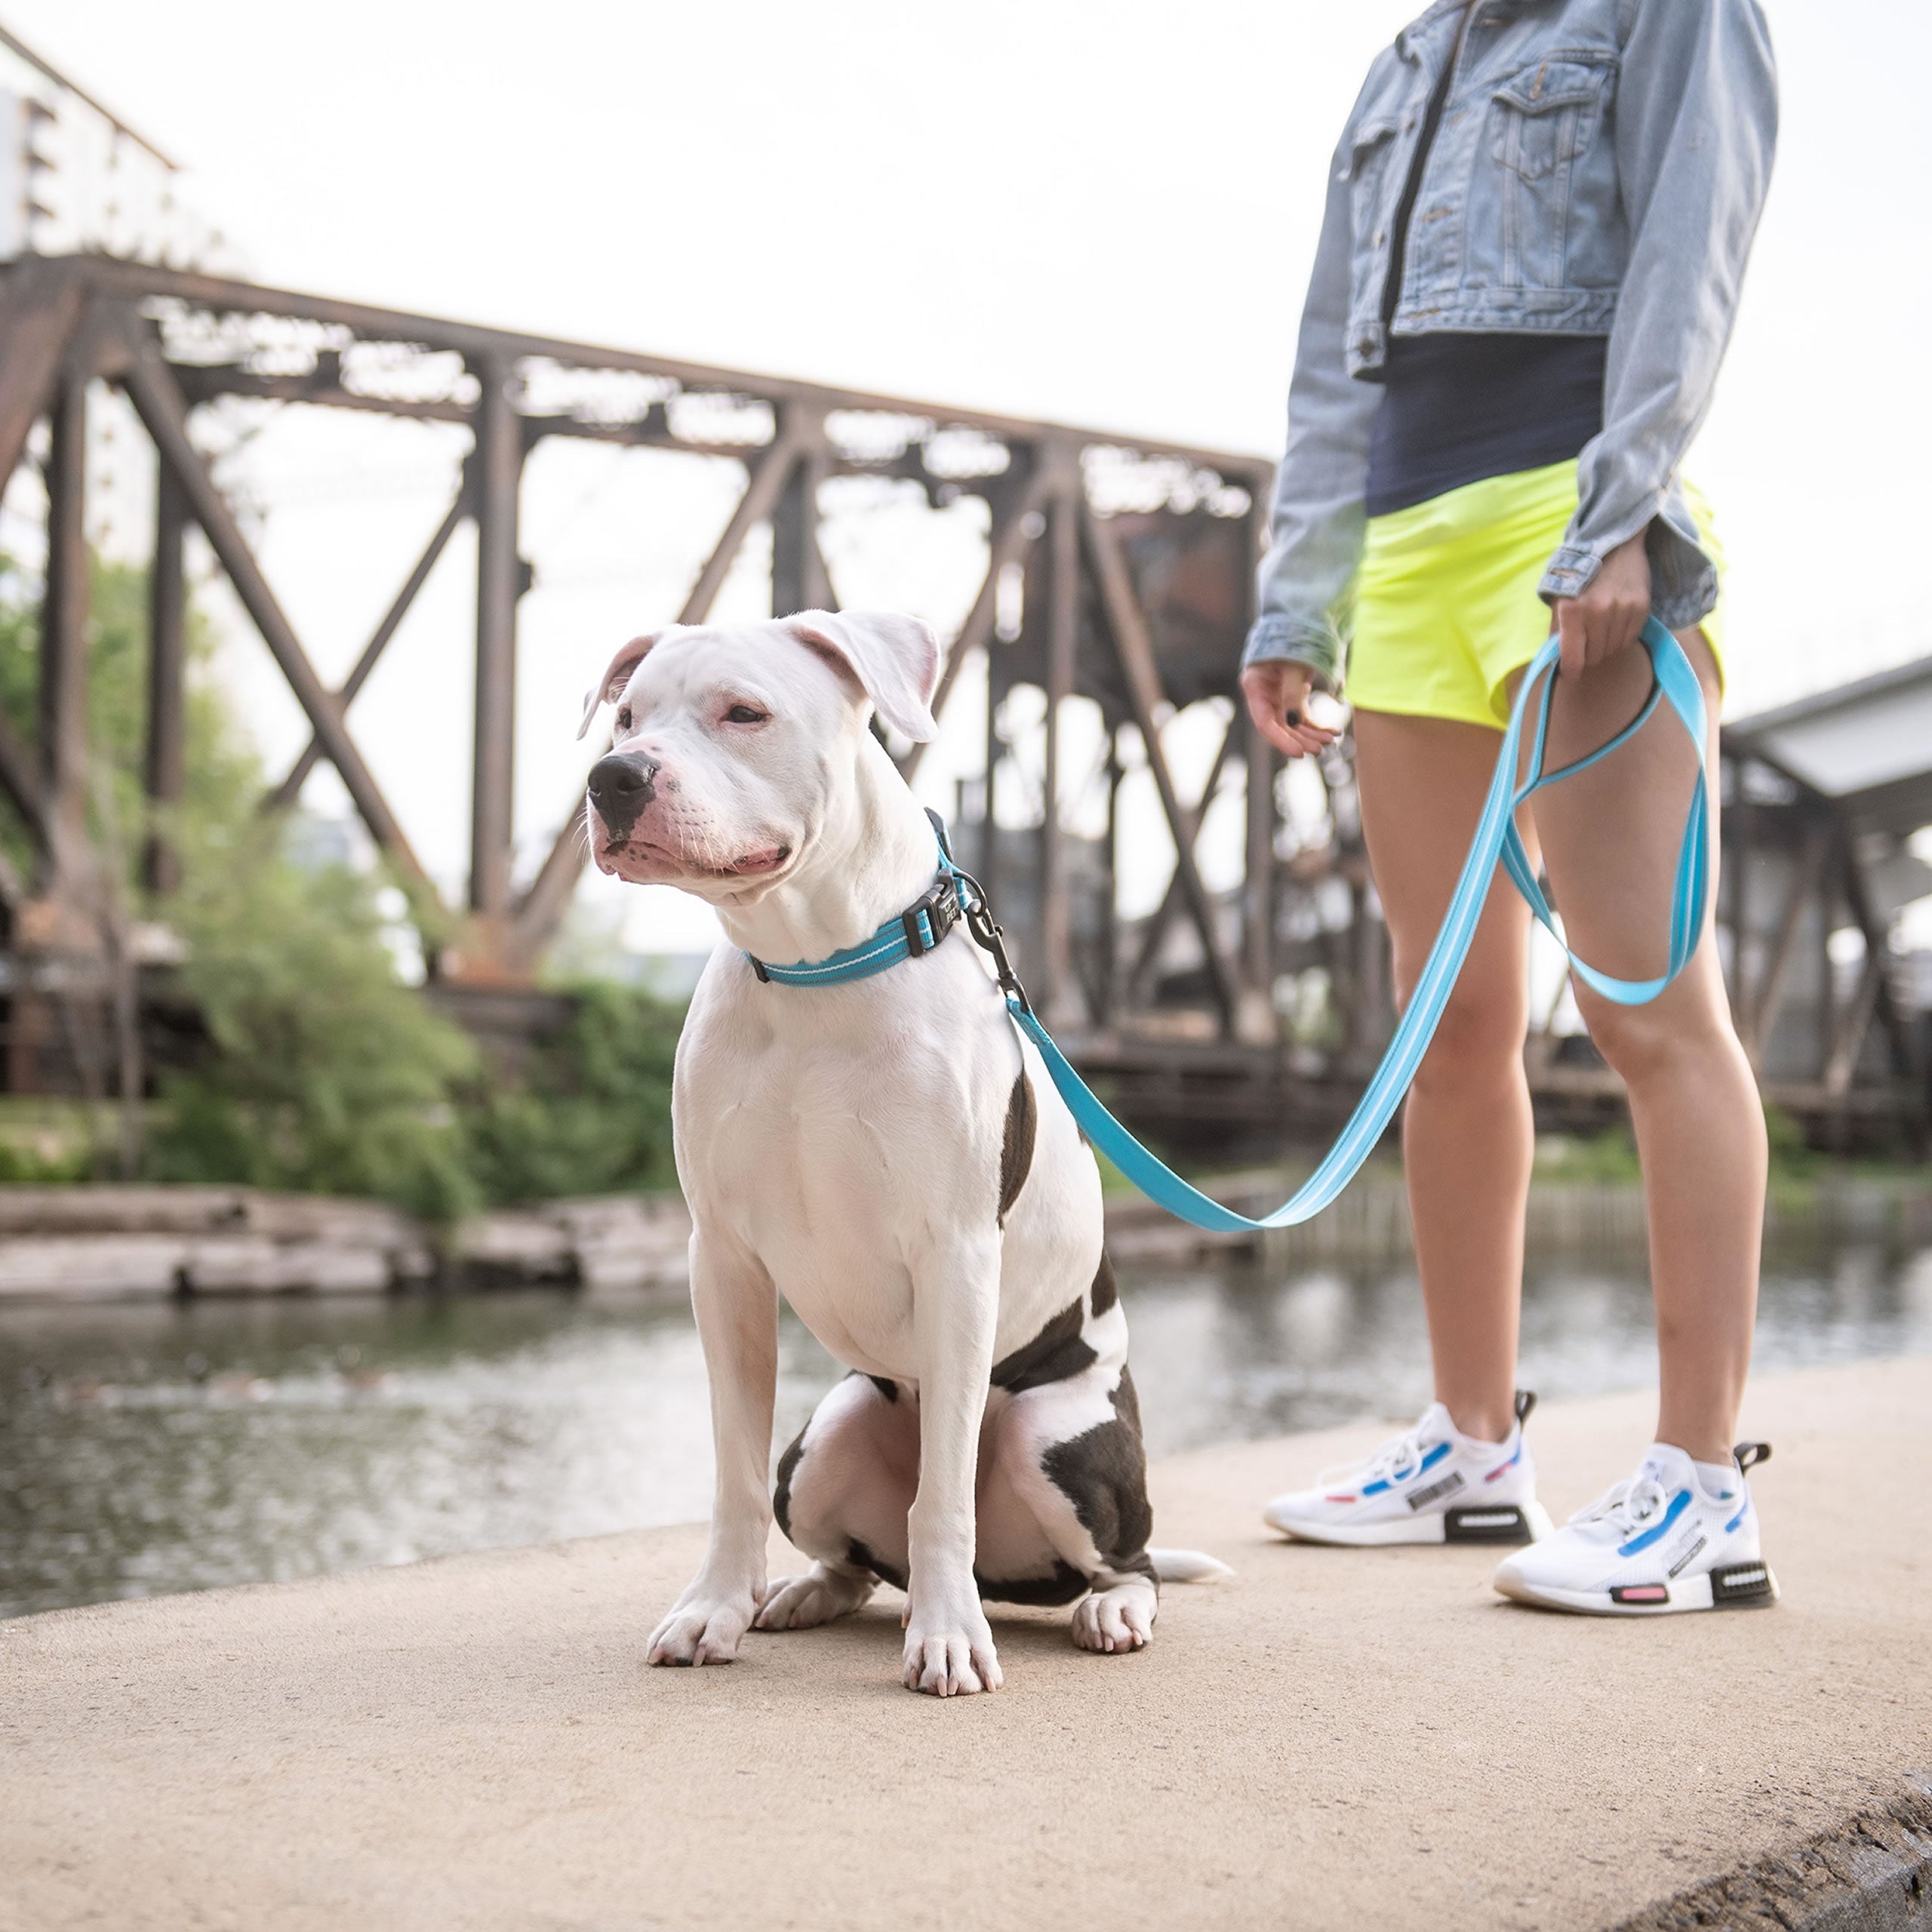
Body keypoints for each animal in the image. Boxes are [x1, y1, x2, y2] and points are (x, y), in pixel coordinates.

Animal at [580, 610, 1229, 1700]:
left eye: (744, 712)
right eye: (627, 716)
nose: (613, 777)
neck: (813, 967)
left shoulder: (956, 1254)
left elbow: (943, 1498)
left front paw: (948, 1638)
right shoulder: (722, 1260)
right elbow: (733, 1471)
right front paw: (716, 1609)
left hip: (1057, 1439)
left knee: (1124, 1554)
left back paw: (1106, 1607)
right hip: (828, 1438)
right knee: (852, 1553)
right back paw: (803, 1593)